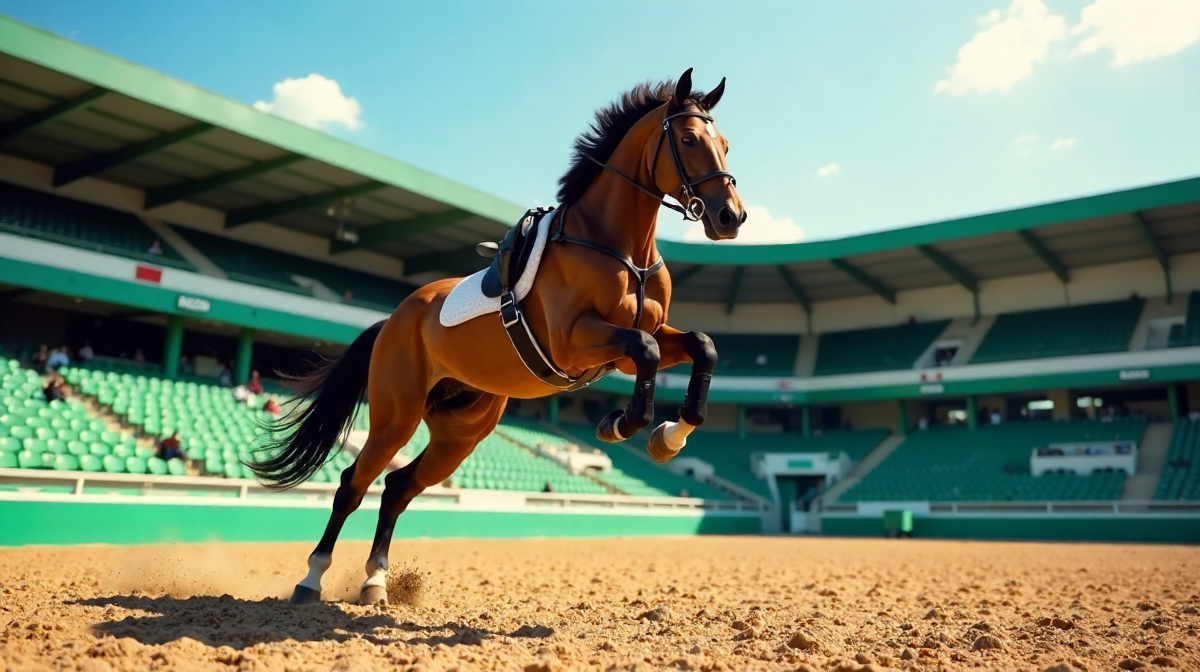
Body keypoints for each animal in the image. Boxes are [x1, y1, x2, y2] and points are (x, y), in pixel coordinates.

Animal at [249, 68, 746, 605]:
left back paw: (376, 581)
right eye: (689, 139)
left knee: (398, 486)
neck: (620, 248)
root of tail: (395, 317)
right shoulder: (578, 340)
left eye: (726, 144)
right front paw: (619, 425)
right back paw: (311, 579)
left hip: (461, 432)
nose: (731, 218)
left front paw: (668, 438)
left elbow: (701, 345)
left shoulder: (633, 345)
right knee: (351, 484)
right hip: (395, 418)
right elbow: (649, 352)